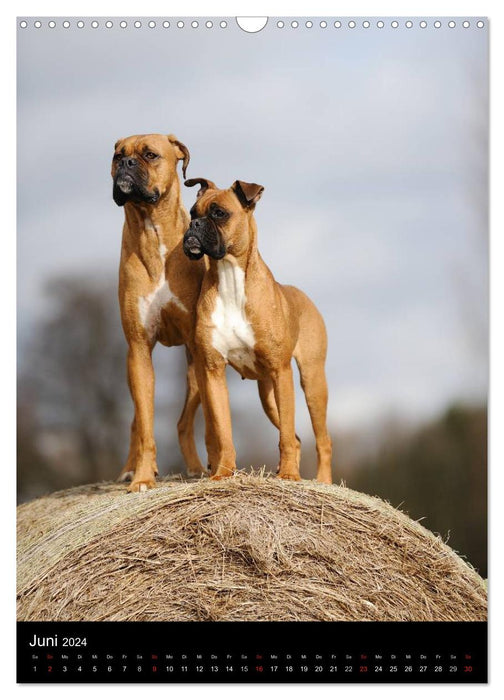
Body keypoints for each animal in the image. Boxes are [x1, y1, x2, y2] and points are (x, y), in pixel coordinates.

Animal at [113, 133, 208, 492]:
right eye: (117, 156)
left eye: (150, 155)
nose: (126, 164)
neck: (151, 227)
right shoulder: (139, 348)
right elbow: (145, 423)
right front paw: (142, 476)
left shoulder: (199, 348)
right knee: (137, 422)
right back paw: (130, 469)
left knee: (184, 421)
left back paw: (197, 467)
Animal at [183, 176, 332, 482]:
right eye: (192, 213)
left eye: (219, 213)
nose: (193, 225)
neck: (229, 276)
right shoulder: (213, 371)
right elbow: (223, 432)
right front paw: (223, 473)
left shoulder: (281, 371)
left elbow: (285, 436)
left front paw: (288, 476)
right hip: (269, 396)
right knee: (296, 437)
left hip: (311, 382)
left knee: (320, 440)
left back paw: (323, 481)